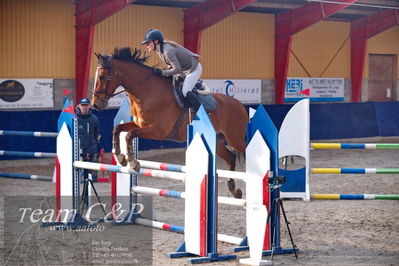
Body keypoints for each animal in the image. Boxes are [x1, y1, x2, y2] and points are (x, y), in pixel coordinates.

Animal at [92, 47, 248, 198]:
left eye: (102, 77)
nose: (95, 105)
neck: (147, 91)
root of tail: (239, 105)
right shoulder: (139, 124)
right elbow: (118, 129)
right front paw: (120, 157)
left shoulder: (157, 130)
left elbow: (129, 135)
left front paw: (133, 163)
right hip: (218, 141)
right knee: (231, 158)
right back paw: (234, 189)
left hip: (235, 139)